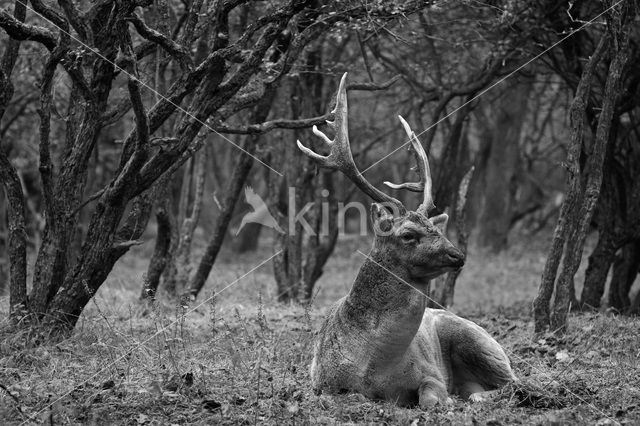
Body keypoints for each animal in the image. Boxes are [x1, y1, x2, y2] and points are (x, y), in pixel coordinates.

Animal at [298, 74, 516, 410]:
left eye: (436, 229)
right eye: (408, 235)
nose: (457, 255)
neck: (374, 366)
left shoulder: (431, 373)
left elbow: (430, 398)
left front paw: (442, 403)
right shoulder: (322, 383)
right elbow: (351, 398)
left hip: (478, 341)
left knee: (514, 382)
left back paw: (475, 395)